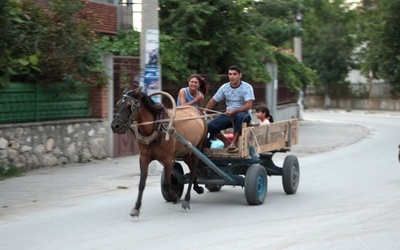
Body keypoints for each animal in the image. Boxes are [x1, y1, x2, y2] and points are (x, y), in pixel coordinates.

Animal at [111, 88, 208, 217]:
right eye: (117, 104)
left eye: (129, 105)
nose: (114, 126)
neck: (157, 127)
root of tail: (198, 111)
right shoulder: (144, 158)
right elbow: (141, 183)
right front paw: (136, 207)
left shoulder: (168, 159)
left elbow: (167, 183)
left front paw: (174, 197)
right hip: (186, 152)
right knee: (193, 169)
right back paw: (197, 188)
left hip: (197, 148)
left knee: (193, 171)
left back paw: (186, 200)